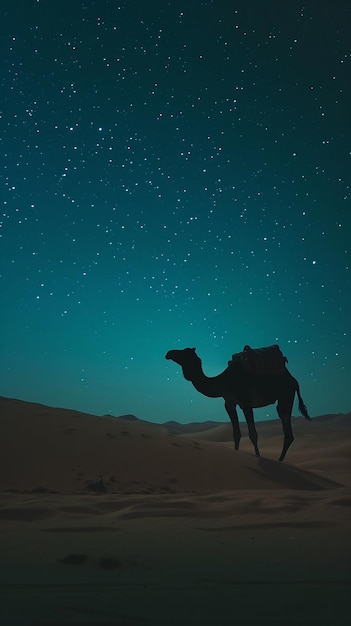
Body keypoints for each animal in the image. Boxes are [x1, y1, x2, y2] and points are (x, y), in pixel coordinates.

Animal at [165, 344, 310, 460]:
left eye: (183, 352)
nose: (169, 353)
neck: (222, 382)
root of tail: (294, 380)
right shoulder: (229, 403)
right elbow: (236, 433)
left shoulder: (246, 403)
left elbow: (253, 434)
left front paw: (258, 456)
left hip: (286, 395)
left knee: (287, 428)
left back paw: (280, 461)